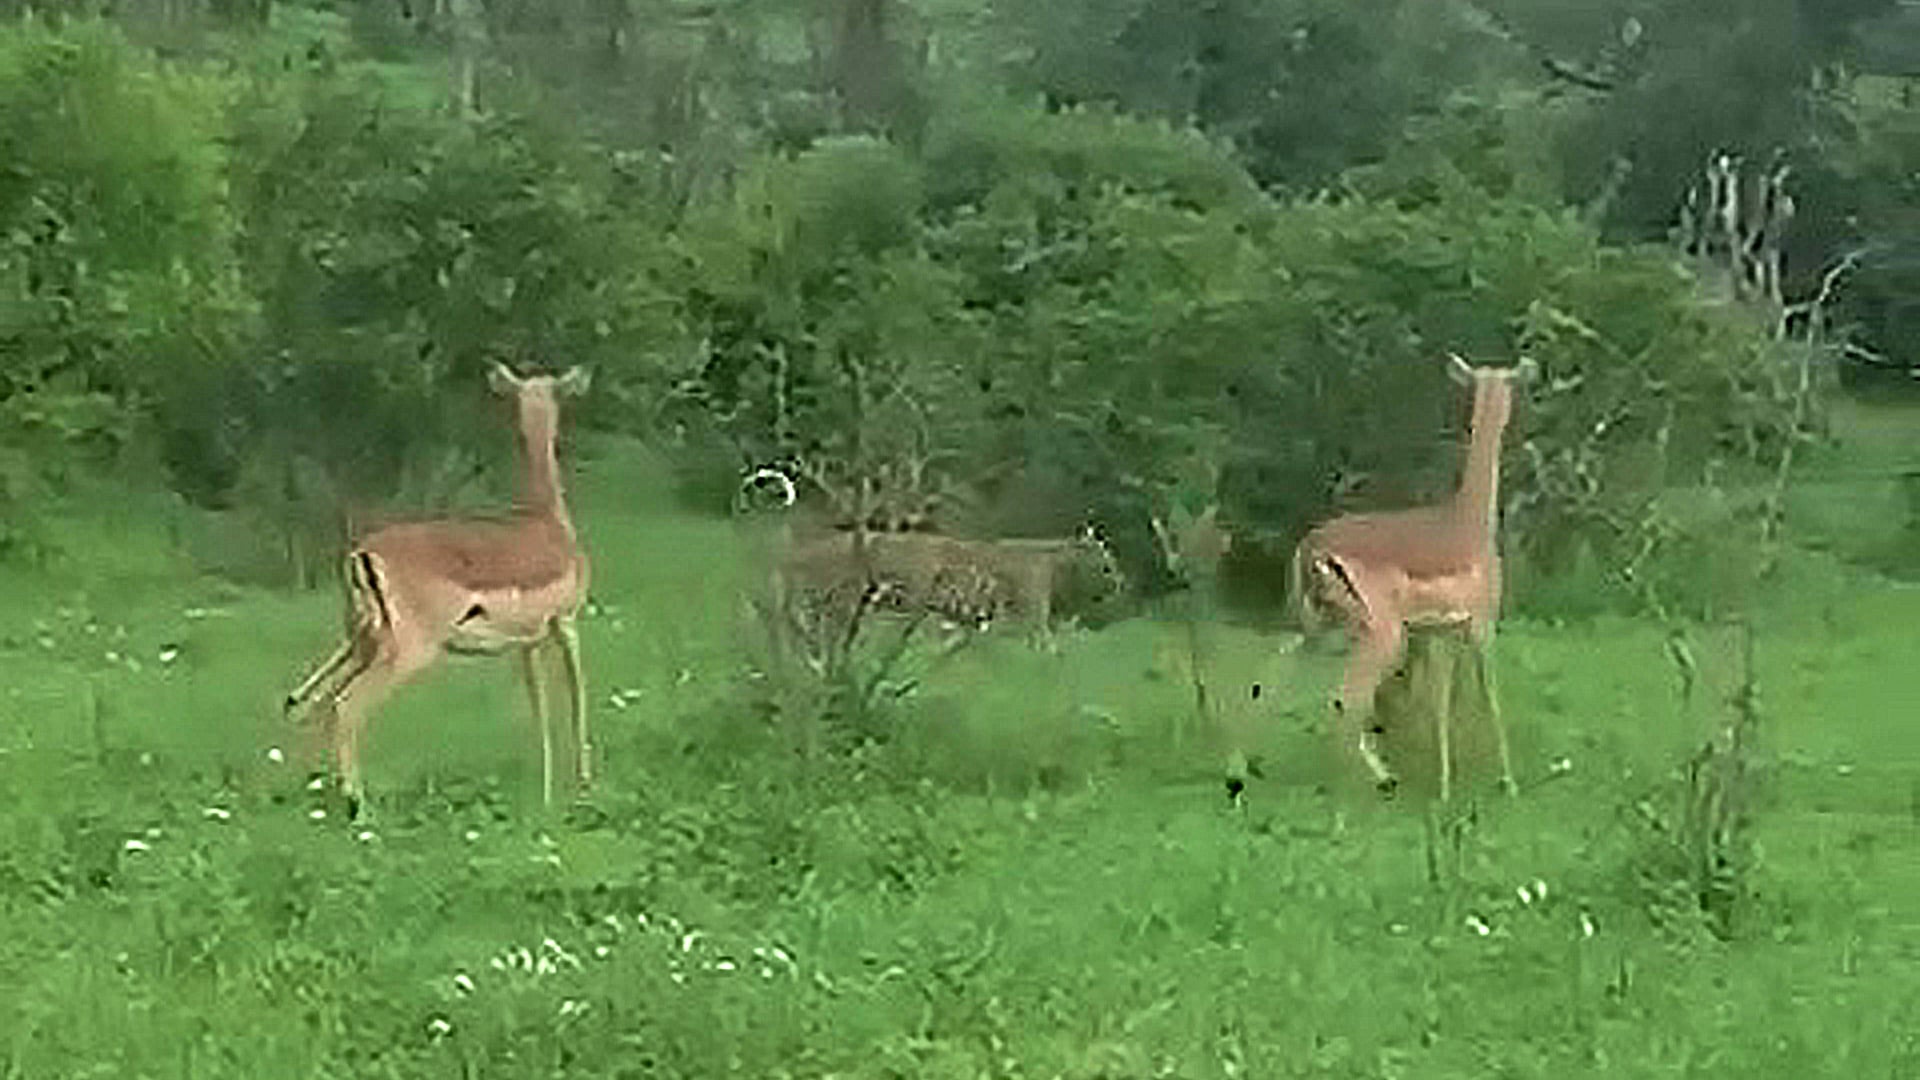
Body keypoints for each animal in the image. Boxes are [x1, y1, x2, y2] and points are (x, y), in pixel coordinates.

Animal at [285, 363, 593, 815]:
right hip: (408, 652)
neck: (547, 524)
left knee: (308, 702)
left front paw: (546, 793)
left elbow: (539, 710)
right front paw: (583, 786)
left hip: (362, 643)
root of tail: (362, 554)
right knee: (344, 707)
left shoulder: (527, 643)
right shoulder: (566, 624)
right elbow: (576, 697)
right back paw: (359, 806)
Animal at [1289, 353, 1534, 800]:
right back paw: (1364, 786)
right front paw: (1508, 783)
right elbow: (1489, 694)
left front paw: (1444, 785)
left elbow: (1438, 701)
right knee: (1346, 699)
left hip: (1320, 629)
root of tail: (1312, 546)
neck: (1469, 521)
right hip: (1382, 635)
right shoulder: (1480, 625)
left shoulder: (1437, 635)